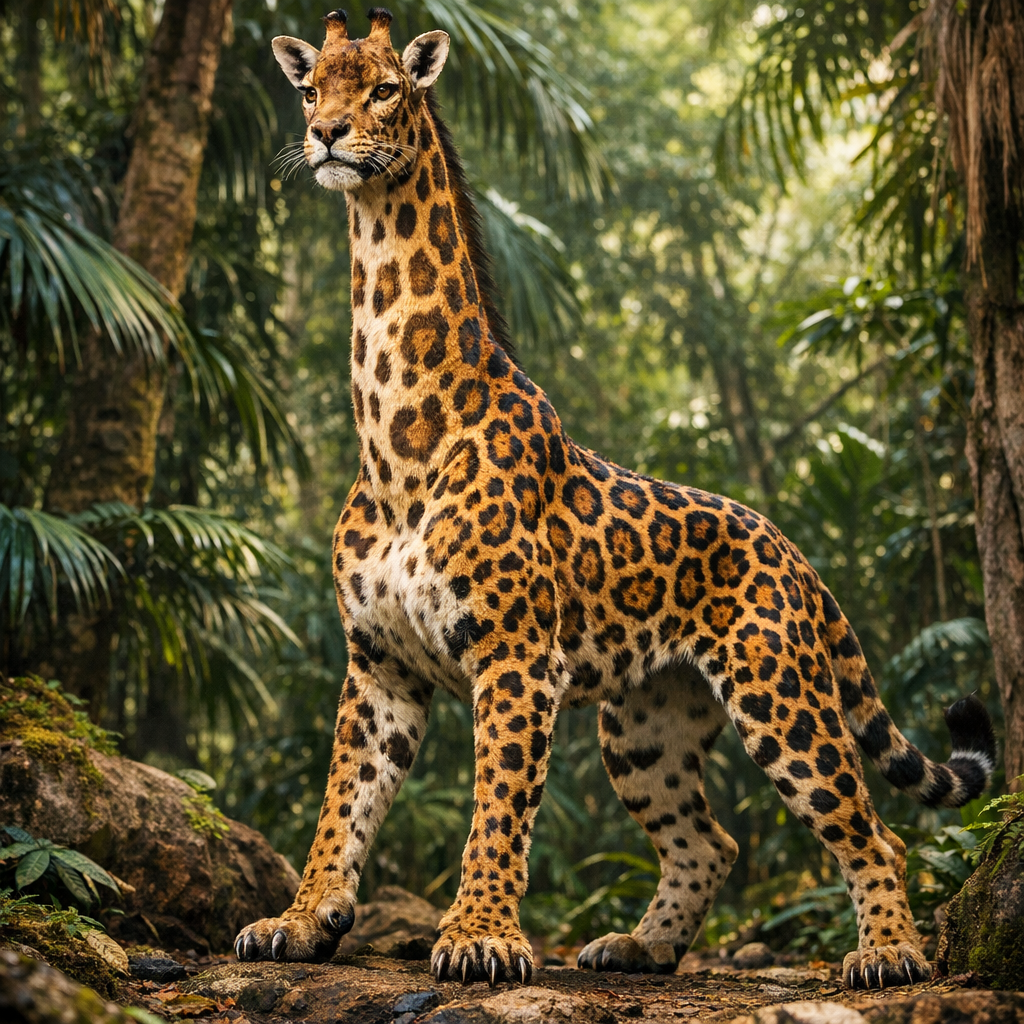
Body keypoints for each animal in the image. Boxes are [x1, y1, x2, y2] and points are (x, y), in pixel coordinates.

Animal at [234, 7, 997, 990]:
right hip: (643, 728)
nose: (326, 134)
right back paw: (640, 946)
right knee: (708, 842)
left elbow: (498, 807)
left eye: (384, 91)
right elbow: (342, 802)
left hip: (779, 694)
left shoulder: (516, 658)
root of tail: (791, 549)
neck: (394, 434)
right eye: (308, 89)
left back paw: (889, 953)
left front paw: (480, 935)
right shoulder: (378, 666)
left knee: (871, 831)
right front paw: (302, 918)